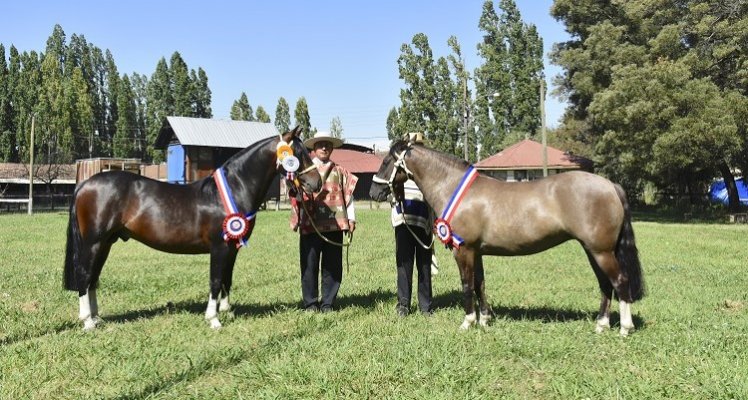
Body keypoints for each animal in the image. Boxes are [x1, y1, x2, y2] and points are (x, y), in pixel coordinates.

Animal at [64, 126, 322, 330]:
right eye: (298, 154)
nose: (316, 183)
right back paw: (87, 321)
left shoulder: (232, 248)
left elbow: (227, 279)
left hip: (106, 243)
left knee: (93, 278)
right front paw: (213, 319)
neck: (234, 188)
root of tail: (85, 184)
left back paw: (97, 318)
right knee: (84, 275)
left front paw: (227, 310)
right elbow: (215, 280)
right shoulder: (220, 248)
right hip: (94, 242)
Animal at [368, 139, 644, 336]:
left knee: (619, 281)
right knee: (606, 285)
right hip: (593, 250)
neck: (454, 187)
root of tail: (610, 186)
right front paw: (484, 319)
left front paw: (468, 322)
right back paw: (602, 325)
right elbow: (480, 285)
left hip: (601, 251)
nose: (373, 192)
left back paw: (624, 328)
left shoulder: (464, 250)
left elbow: (467, 285)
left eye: (386, 160)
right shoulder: (476, 251)